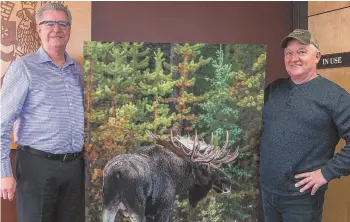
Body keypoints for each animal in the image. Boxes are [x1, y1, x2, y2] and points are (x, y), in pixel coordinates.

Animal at [101, 131, 238, 221]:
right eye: (204, 166)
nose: (227, 182)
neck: (178, 180)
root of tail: (117, 172)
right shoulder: (165, 208)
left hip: (109, 205)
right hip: (137, 208)